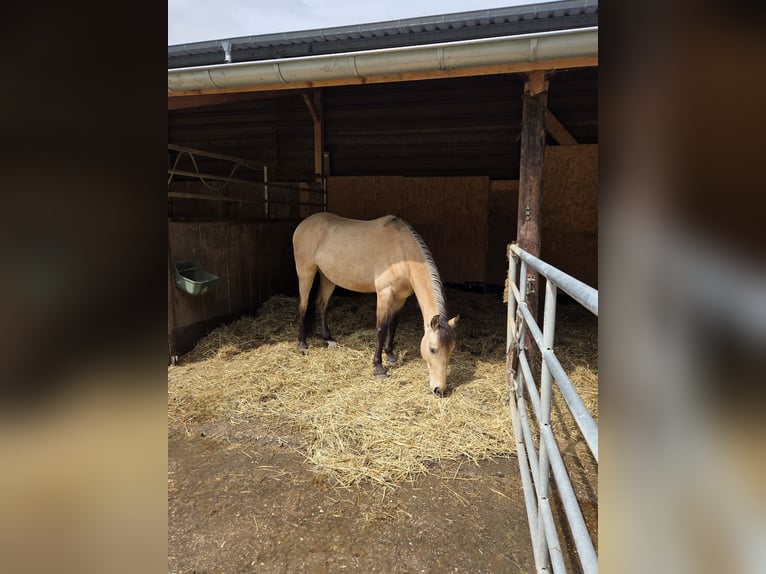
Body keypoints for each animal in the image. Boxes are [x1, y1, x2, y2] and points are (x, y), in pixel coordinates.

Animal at [292, 212, 459, 396]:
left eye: (451, 348)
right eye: (432, 349)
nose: (439, 389)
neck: (402, 252)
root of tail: (304, 223)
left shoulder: (400, 297)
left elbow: (393, 325)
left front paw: (391, 356)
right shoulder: (384, 293)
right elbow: (381, 328)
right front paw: (379, 367)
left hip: (327, 277)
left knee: (321, 304)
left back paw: (328, 339)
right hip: (305, 273)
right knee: (303, 305)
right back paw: (302, 343)